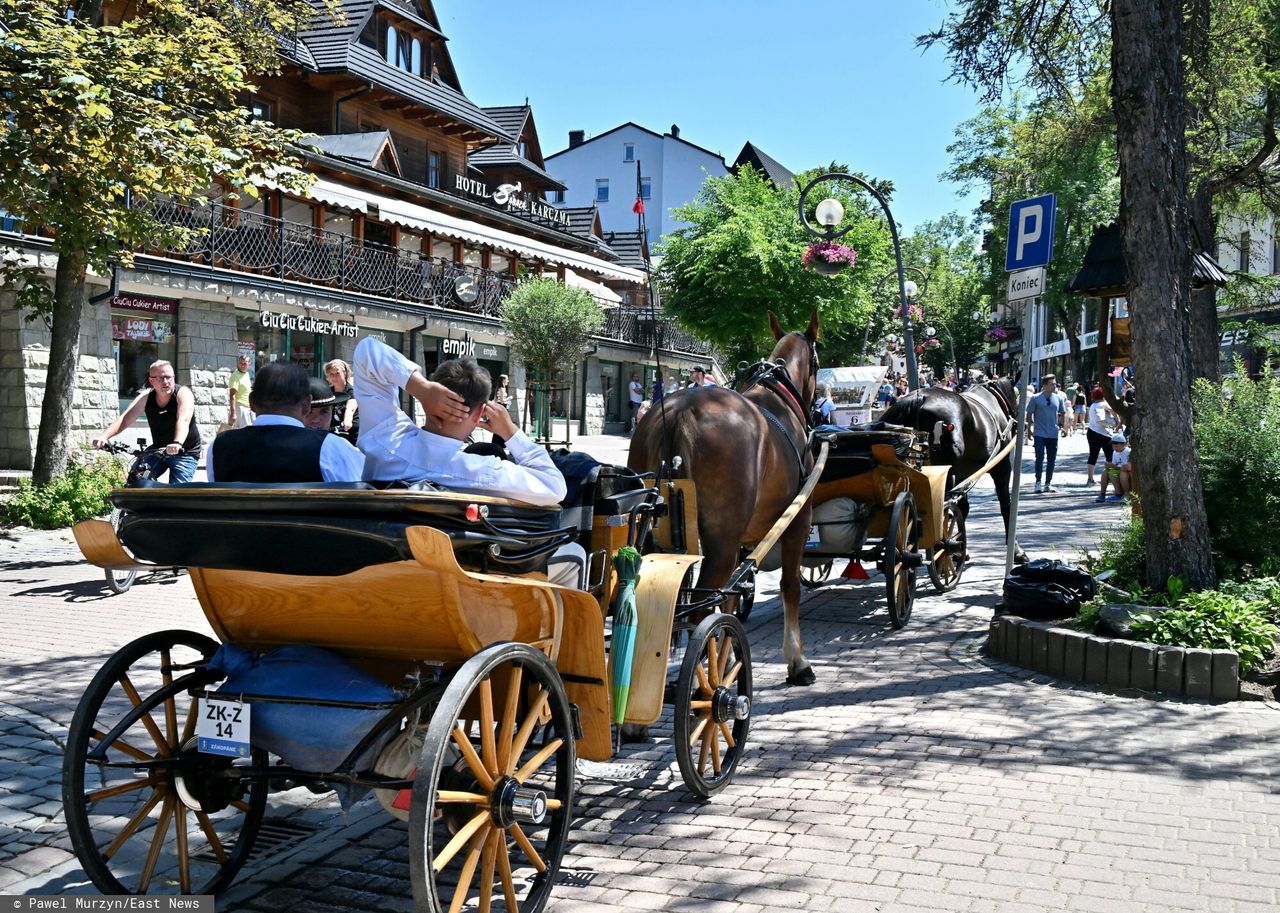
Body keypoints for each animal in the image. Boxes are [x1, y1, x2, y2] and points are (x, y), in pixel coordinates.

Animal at [627, 309, 819, 681]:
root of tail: (680, 413)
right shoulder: (797, 523)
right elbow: (789, 586)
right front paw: (797, 660)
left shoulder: (745, 540)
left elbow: (732, 596)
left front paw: (729, 658)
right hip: (720, 543)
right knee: (699, 611)